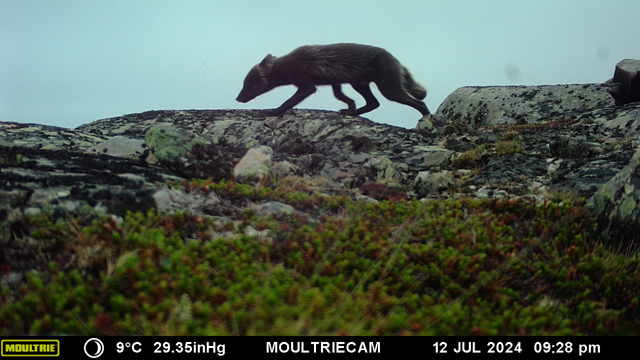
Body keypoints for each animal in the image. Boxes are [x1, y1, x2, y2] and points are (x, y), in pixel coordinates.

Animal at [235, 43, 430, 116]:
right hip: (359, 84)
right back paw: (352, 114)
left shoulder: (306, 86)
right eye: (244, 84)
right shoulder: (335, 82)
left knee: (420, 104)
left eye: (249, 84)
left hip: (389, 89)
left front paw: (273, 112)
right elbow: (341, 97)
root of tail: (396, 60)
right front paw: (350, 107)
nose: (237, 98)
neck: (288, 66)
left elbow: (287, 102)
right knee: (374, 103)